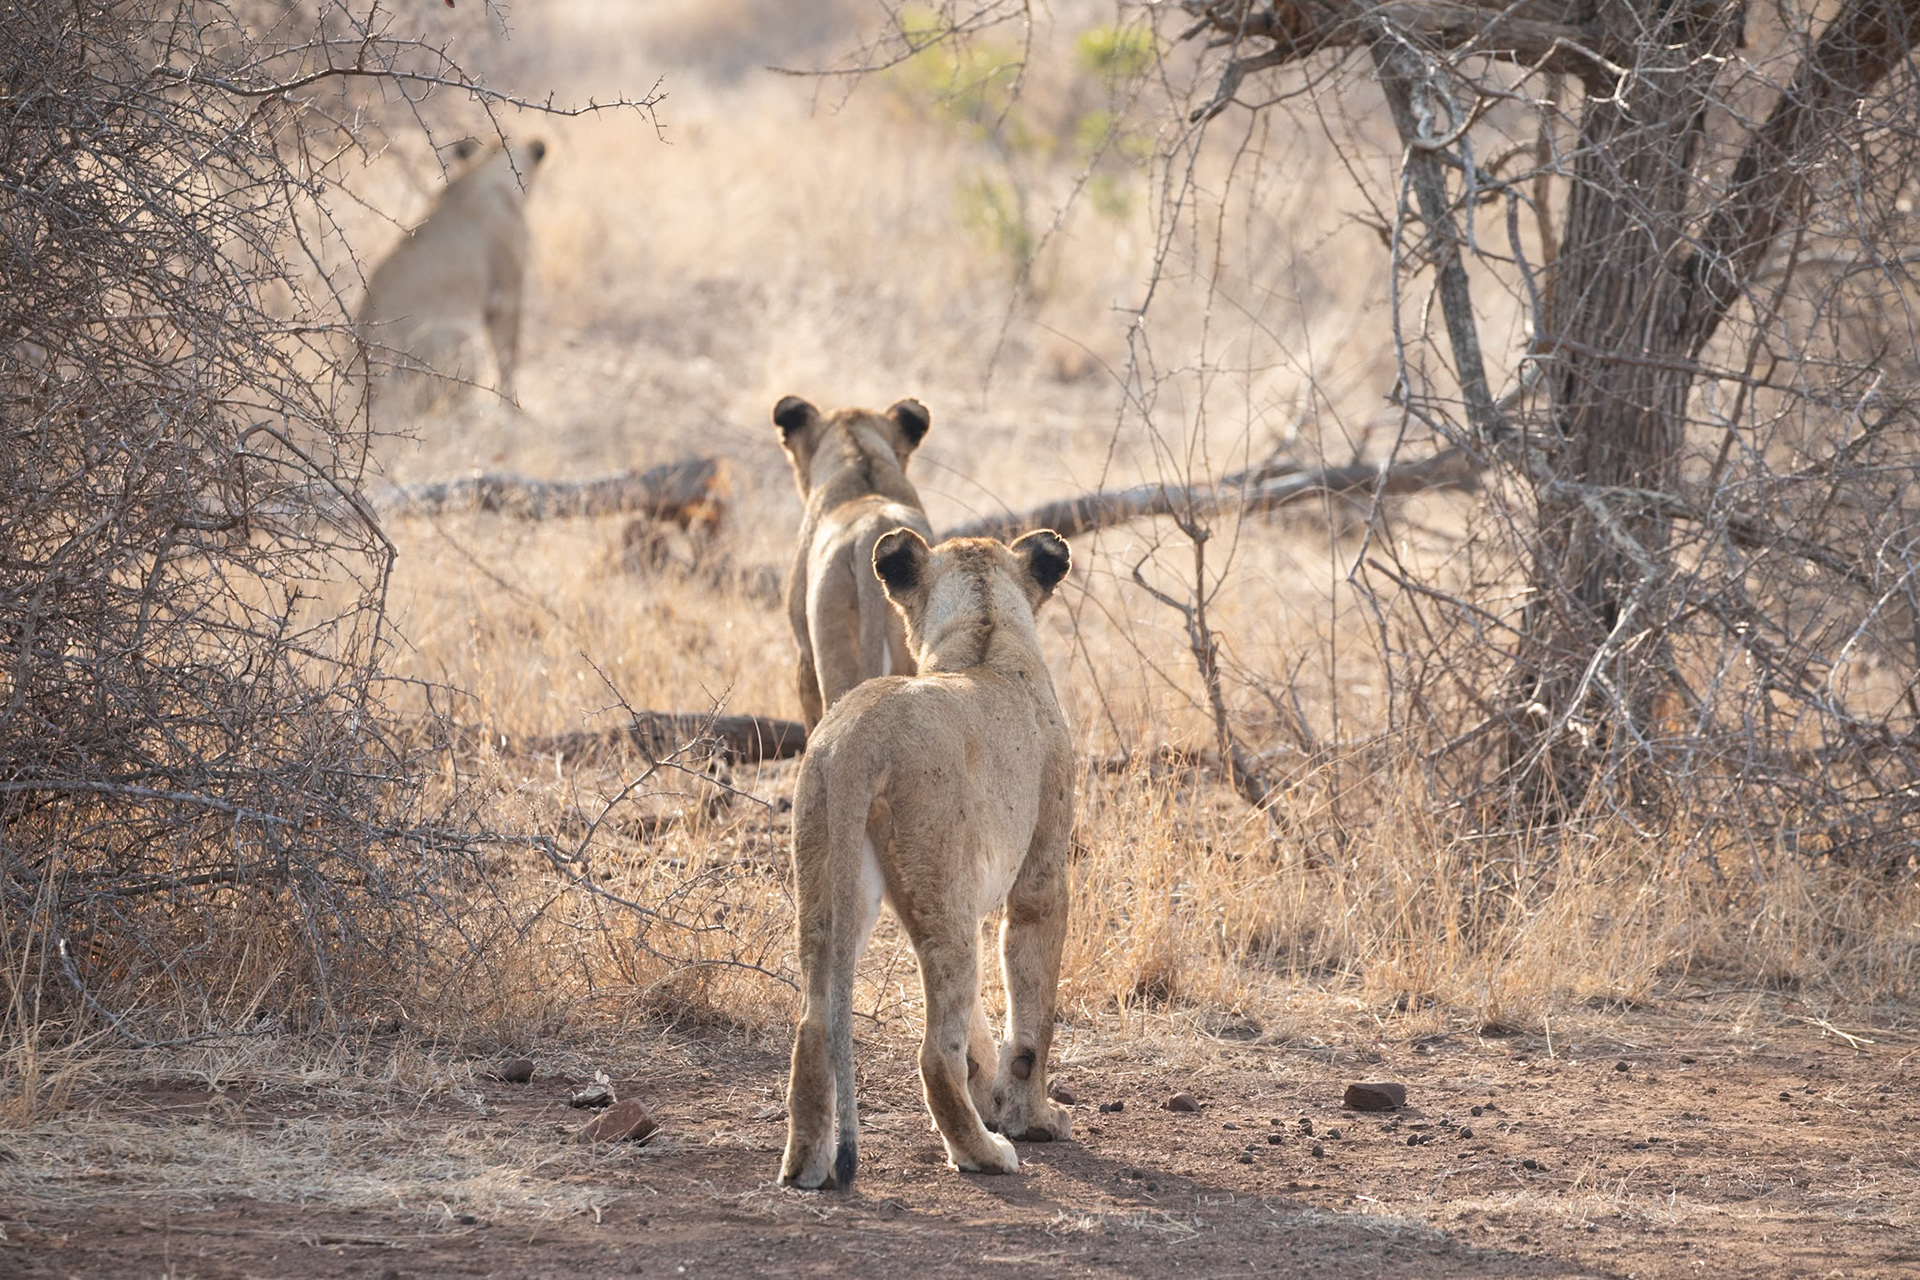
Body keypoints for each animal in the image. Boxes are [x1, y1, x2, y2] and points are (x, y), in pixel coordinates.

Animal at [779, 527, 1076, 1190]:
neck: (984, 632)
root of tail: (858, 735)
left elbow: (984, 1031)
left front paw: (994, 1096)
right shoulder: (1042, 875)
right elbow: (1032, 1016)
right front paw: (1032, 1120)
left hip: (829, 881)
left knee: (813, 1022)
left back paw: (806, 1168)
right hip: (944, 897)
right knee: (936, 1052)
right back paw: (985, 1153)